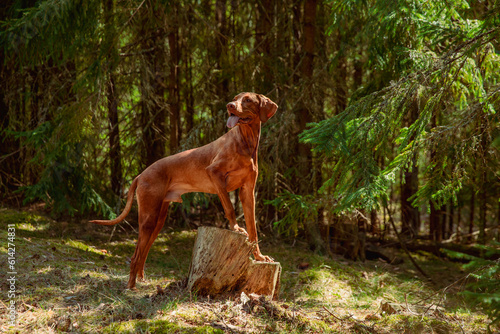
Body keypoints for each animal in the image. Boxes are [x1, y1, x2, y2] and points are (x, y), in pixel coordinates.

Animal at [91, 92, 278, 290]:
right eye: (235, 98)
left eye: (248, 100)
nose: (230, 106)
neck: (245, 141)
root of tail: (141, 174)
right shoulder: (214, 173)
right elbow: (229, 208)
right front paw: (235, 228)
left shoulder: (248, 192)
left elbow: (253, 229)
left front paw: (259, 257)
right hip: (148, 218)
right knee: (135, 255)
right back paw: (131, 287)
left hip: (158, 219)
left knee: (144, 252)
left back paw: (141, 280)